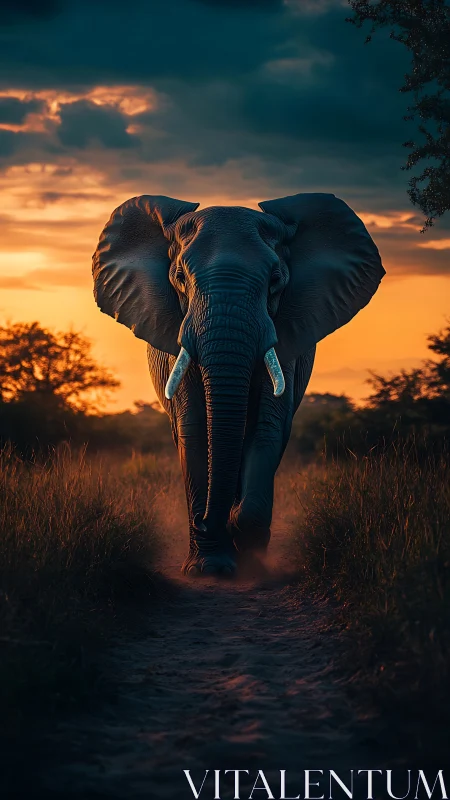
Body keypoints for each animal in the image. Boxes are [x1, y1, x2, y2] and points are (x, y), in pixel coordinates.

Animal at [92, 192, 385, 576]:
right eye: (180, 278)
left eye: (275, 279)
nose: (205, 521)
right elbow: (194, 432)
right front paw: (209, 567)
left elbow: (266, 427)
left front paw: (245, 547)